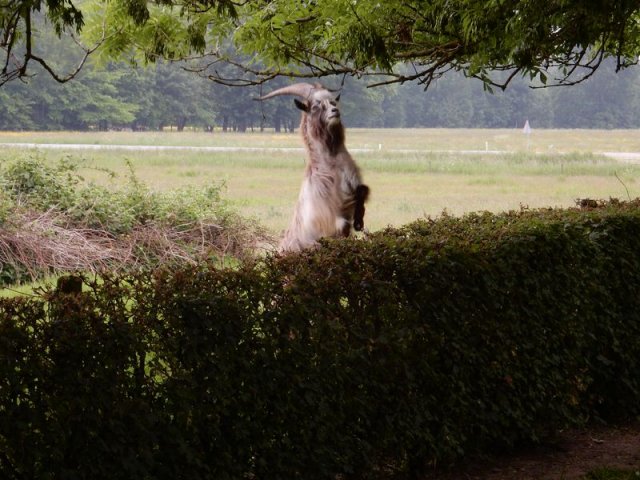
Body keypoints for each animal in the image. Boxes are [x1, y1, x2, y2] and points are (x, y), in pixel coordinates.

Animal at [258, 83, 370, 253]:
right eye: (316, 106)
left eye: (333, 102)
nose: (335, 111)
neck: (332, 168)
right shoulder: (329, 220)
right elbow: (341, 224)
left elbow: (363, 191)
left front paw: (359, 220)